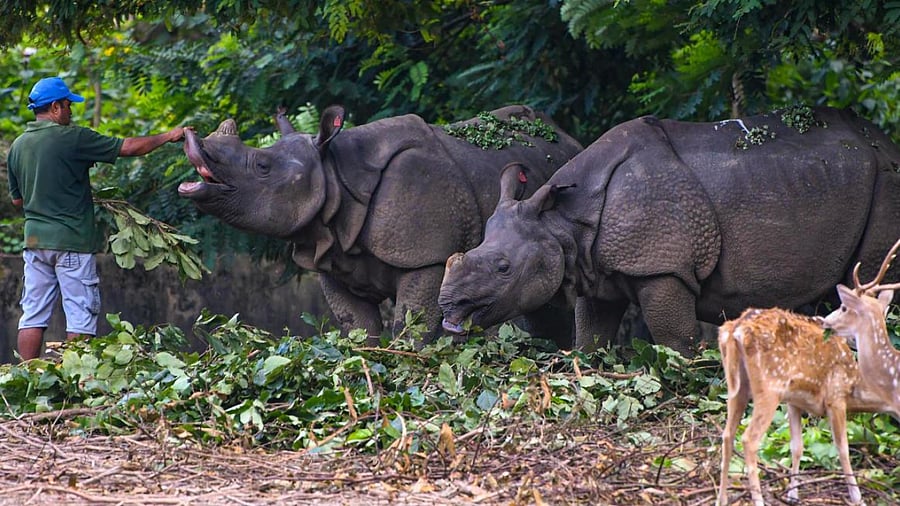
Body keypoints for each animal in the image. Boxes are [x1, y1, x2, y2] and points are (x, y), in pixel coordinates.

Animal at [178, 105, 583, 345]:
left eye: (262, 167)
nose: (191, 143)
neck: (334, 174)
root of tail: (566, 136)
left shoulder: (428, 256)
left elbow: (412, 322)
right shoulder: (332, 259)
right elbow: (358, 326)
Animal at [439, 106, 900, 355]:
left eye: (503, 268)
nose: (447, 307)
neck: (562, 223)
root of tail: (889, 144)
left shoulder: (663, 265)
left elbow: (672, 336)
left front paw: (683, 374)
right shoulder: (593, 269)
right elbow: (591, 336)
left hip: (887, 179)